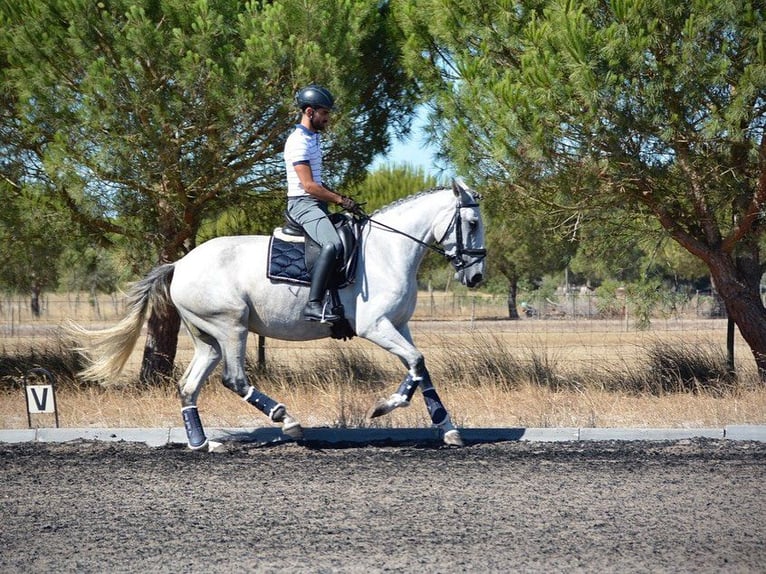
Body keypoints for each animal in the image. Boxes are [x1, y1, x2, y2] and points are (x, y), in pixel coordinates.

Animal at [73, 178, 492, 452]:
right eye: (472, 223)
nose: (475, 276)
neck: (387, 251)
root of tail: (180, 263)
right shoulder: (375, 327)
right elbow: (416, 363)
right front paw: (386, 406)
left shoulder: (399, 326)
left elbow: (421, 368)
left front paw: (448, 428)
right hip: (231, 327)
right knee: (234, 379)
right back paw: (287, 421)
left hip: (207, 339)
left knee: (189, 385)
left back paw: (203, 443)